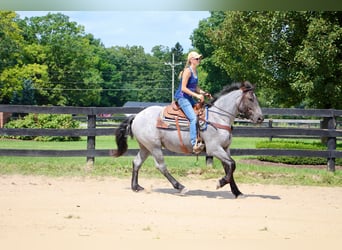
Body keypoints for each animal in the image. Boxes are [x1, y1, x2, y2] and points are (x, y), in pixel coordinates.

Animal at [113, 81, 264, 198]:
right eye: (251, 99)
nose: (260, 118)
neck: (218, 118)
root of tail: (136, 116)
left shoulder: (225, 149)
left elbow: (229, 168)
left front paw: (237, 192)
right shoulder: (214, 148)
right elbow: (232, 164)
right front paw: (220, 183)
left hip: (145, 147)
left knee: (137, 162)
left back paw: (136, 187)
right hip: (154, 147)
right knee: (161, 166)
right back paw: (180, 186)